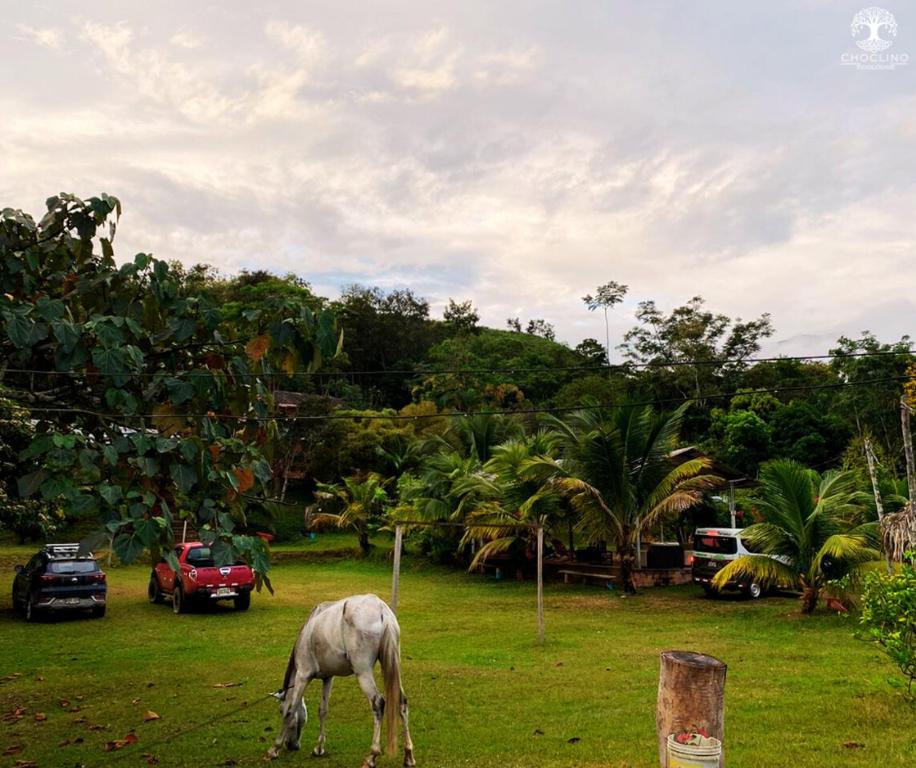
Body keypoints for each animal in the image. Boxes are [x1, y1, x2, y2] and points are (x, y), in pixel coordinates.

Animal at [266, 592, 416, 768]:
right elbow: (323, 710)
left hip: (363, 672)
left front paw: (274, 749)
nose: (292, 746)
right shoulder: (327, 678)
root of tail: (381, 609)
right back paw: (408, 755)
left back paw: (372, 756)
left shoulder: (303, 675)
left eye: (279, 710)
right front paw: (319, 748)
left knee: (378, 703)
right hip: (392, 666)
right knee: (402, 702)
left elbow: (291, 710)